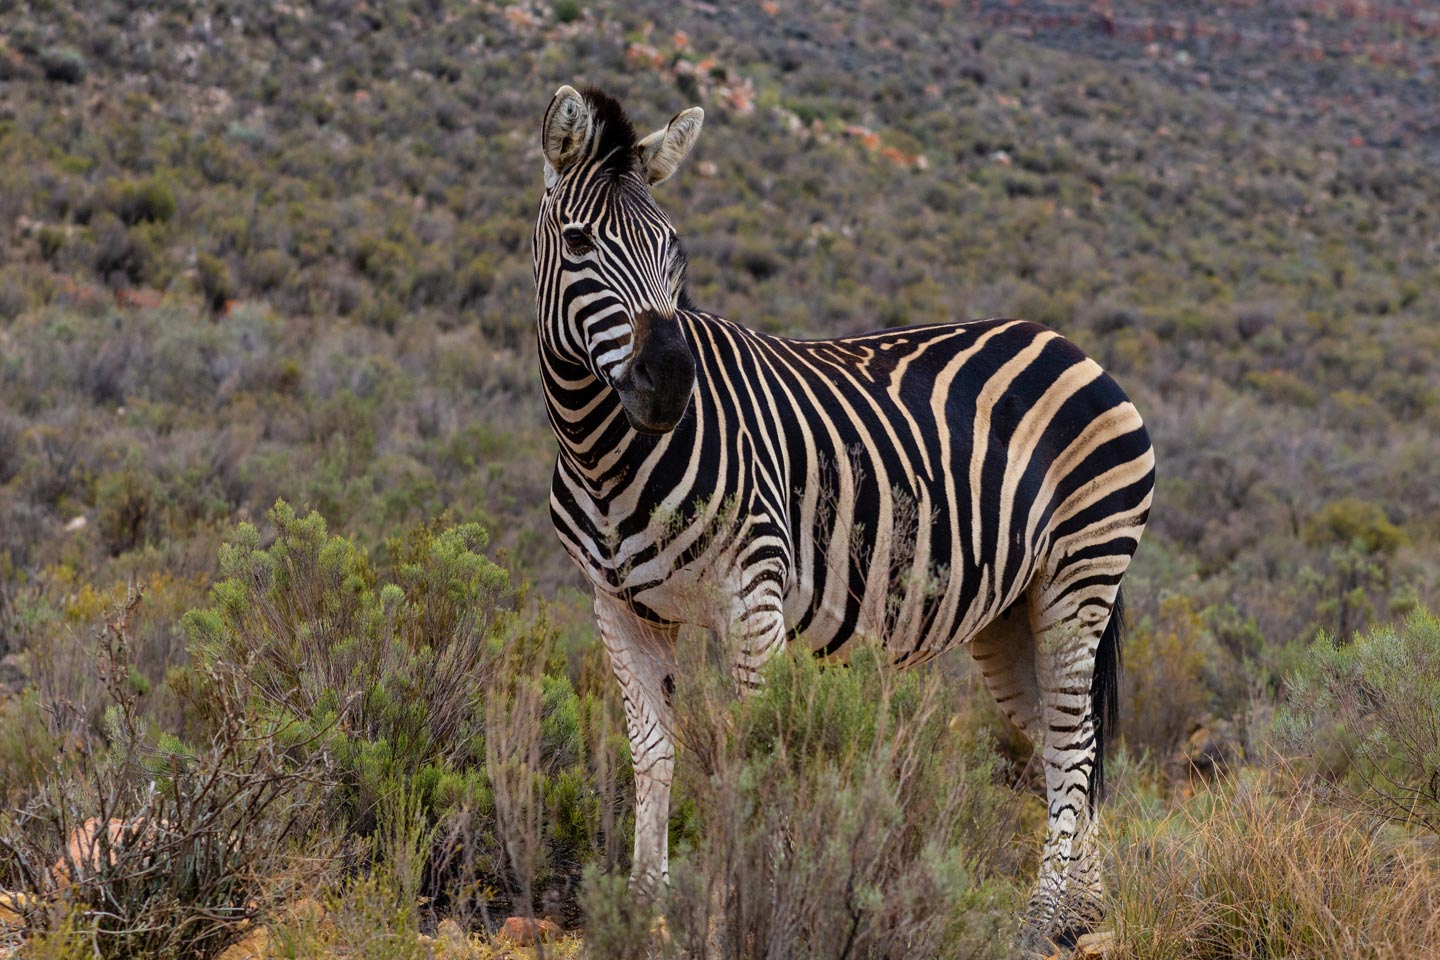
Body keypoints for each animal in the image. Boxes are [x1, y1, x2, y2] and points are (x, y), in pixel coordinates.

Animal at [531, 84, 1155, 949]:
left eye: (674, 250)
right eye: (581, 241)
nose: (669, 382)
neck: (604, 454)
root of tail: (1073, 347)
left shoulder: (753, 592)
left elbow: (753, 753)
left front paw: (746, 905)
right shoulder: (620, 607)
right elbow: (653, 755)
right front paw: (643, 912)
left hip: (1080, 576)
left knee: (1070, 745)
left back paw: (1038, 922)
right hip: (1013, 613)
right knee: (1076, 747)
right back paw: (1080, 916)